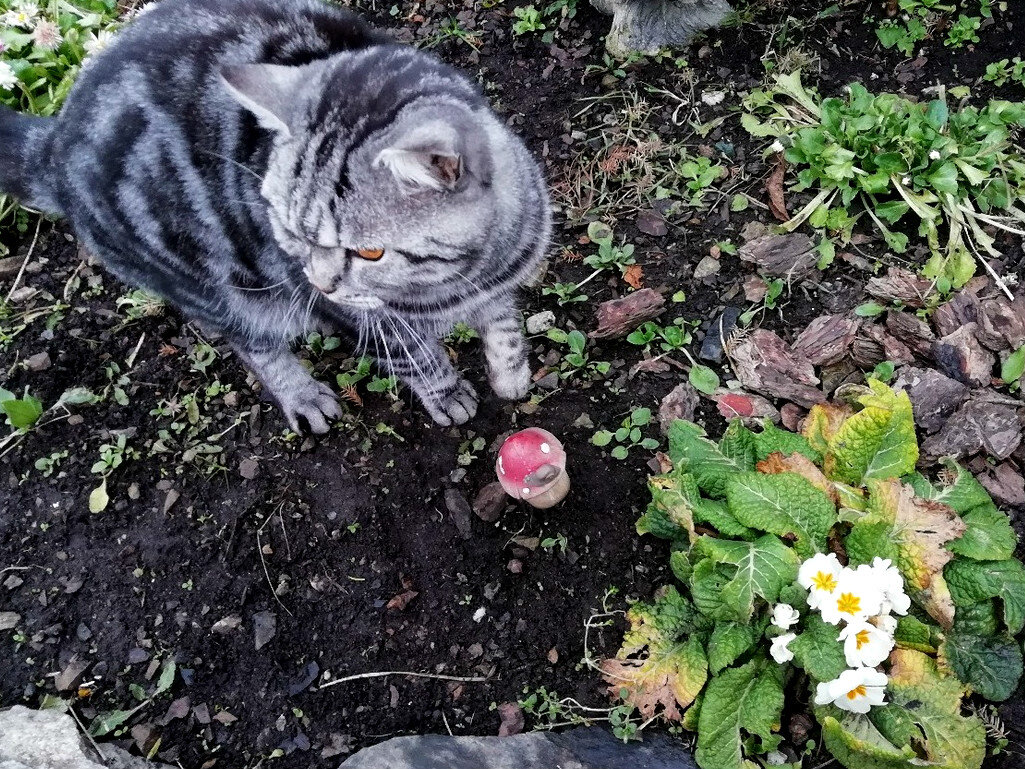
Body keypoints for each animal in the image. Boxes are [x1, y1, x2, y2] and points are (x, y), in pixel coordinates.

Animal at [0, 0, 551, 432]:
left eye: (370, 252)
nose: (320, 283)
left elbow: (503, 322)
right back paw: (302, 393)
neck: (462, 276)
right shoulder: (368, 320)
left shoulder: (500, 282)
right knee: (254, 346)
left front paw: (511, 374)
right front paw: (447, 391)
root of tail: (56, 137)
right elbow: (414, 356)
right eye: (288, 231)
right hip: (214, 289)